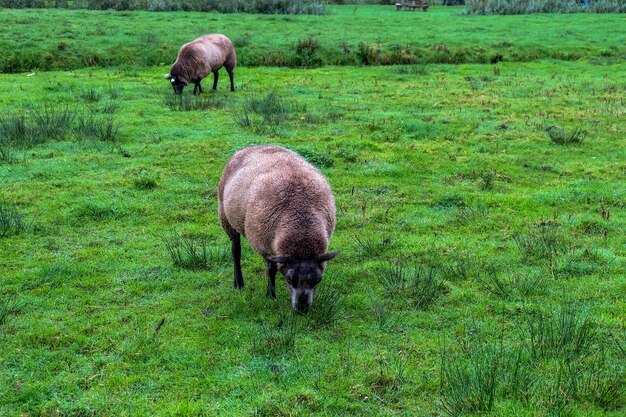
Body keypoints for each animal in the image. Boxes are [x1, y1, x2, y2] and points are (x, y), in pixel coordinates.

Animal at [217, 145, 338, 310]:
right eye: (289, 279)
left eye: (317, 280)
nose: (302, 309)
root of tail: (251, 146)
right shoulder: (264, 245)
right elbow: (271, 270)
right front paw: (271, 295)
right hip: (226, 217)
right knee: (236, 250)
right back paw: (239, 283)